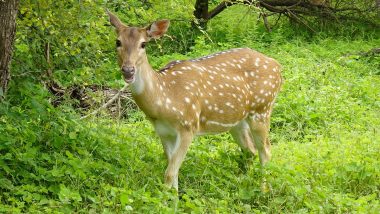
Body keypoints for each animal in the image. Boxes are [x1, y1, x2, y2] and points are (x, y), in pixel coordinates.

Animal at [107, 10, 282, 190]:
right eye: (118, 41)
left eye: (143, 44)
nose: (128, 70)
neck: (163, 101)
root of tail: (277, 65)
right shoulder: (164, 132)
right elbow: (173, 172)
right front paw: (173, 197)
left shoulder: (188, 125)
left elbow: (169, 173)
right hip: (237, 120)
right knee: (250, 150)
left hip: (262, 108)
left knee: (266, 150)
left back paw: (263, 190)